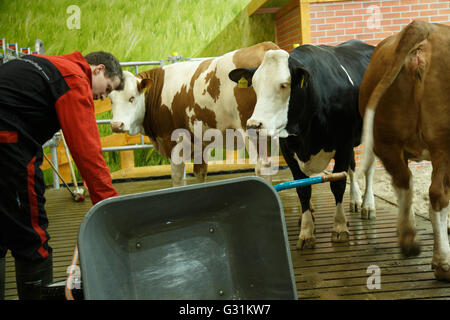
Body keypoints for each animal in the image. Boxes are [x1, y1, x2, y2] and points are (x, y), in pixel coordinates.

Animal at [109, 42, 278, 186]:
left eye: (132, 97)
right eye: (111, 100)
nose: (116, 125)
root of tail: (266, 46)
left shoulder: (172, 141)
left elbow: (177, 178)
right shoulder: (200, 144)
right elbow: (200, 172)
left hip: (252, 129)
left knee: (263, 165)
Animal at [230, 39, 374, 250]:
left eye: (284, 85)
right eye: (255, 85)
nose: (254, 125)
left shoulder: (343, 143)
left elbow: (338, 184)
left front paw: (339, 227)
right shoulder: (288, 150)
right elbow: (303, 189)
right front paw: (306, 231)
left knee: (368, 169)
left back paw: (367, 205)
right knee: (353, 166)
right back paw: (355, 199)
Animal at [358, 20, 450, 282]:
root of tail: (424, 26)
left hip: (386, 140)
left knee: (404, 183)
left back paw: (409, 238)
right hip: (444, 143)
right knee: (438, 194)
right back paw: (444, 262)